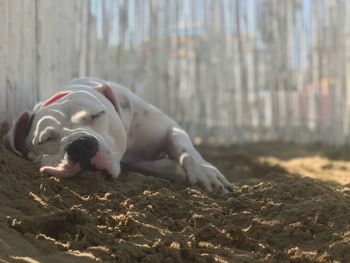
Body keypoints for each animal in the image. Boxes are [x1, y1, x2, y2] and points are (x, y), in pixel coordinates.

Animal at [4, 78, 232, 194]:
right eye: (46, 140)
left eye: (96, 115)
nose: (79, 145)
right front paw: (173, 169)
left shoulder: (169, 127)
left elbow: (181, 145)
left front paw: (204, 172)